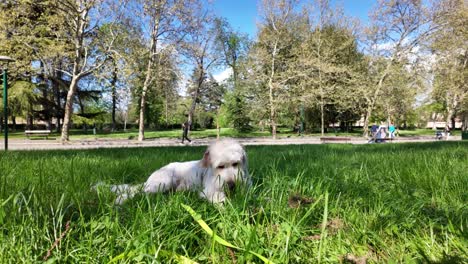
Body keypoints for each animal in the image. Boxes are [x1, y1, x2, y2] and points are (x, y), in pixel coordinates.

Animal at [97, 139, 250, 205]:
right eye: (220, 166)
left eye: (235, 164)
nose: (231, 185)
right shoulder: (209, 190)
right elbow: (218, 197)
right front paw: (224, 204)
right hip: (162, 182)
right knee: (137, 192)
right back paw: (120, 201)